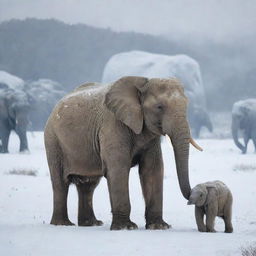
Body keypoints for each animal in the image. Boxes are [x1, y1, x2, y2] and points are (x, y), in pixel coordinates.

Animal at [44, 76, 202, 230]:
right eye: (159, 107)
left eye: (187, 105)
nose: (195, 192)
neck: (143, 83)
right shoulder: (112, 126)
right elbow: (118, 169)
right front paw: (126, 227)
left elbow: (152, 170)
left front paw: (159, 226)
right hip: (53, 141)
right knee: (60, 183)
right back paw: (63, 224)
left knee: (88, 185)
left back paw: (91, 224)